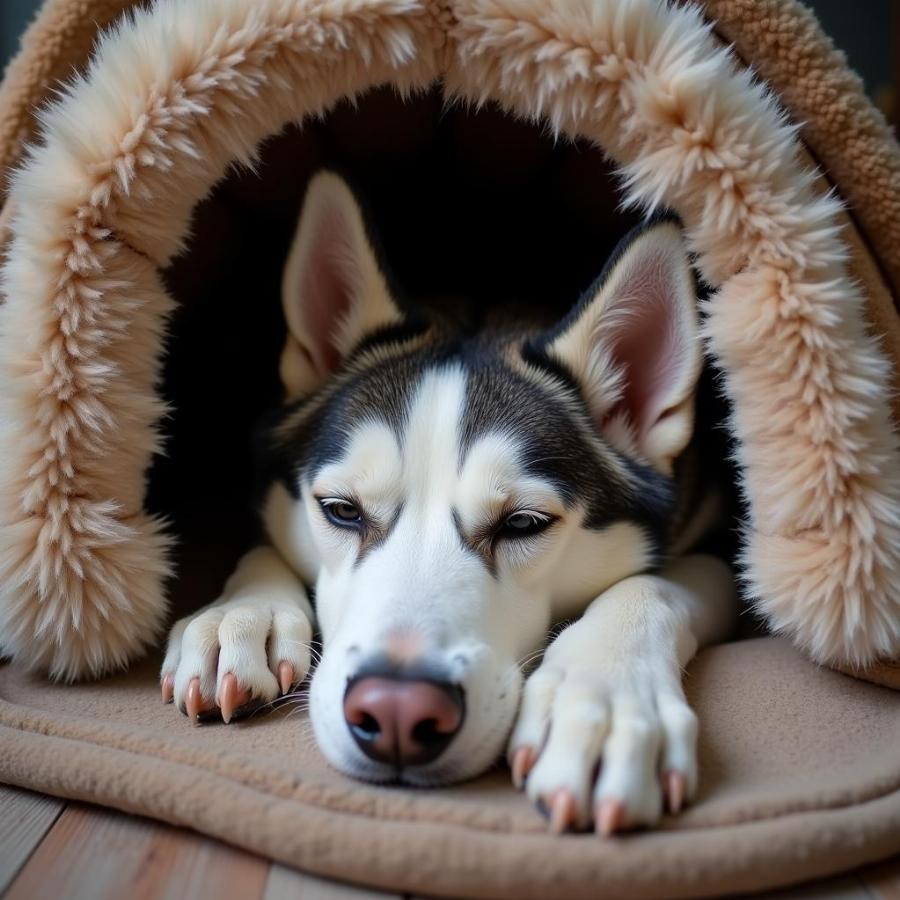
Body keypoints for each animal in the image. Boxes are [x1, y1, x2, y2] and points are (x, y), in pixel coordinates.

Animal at [162, 174, 740, 836]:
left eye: (524, 522)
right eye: (341, 509)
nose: (396, 713)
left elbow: (652, 585)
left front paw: (604, 696)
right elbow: (264, 542)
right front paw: (238, 615)